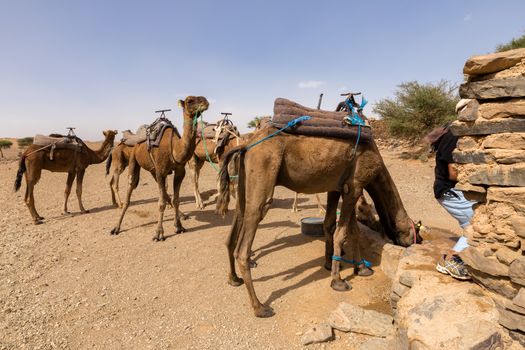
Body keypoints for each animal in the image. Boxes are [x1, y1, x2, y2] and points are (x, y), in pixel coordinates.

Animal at [110, 95, 209, 241]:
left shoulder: (179, 171)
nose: (205, 102)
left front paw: (179, 226)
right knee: (130, 190)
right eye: (190, 101)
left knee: (165, 193)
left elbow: (176, 199)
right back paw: (116, 227)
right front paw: (158, 233)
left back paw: (183, 215)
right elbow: (161, 203)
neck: (174, 147)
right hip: (134, 160)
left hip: (153, 169)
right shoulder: (161, 171)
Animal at [215, 126, 420, 318]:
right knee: (246, 239)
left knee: (236, 220)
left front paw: (353, 267)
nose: (415, 242)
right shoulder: (355, 185)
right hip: (263, 170)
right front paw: (338, 280)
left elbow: (339, 227)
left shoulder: (338, 187)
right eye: (415, 234)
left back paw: (234, 279)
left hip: (244, 181)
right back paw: (260, 307)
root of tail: (246, 145)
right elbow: (342, 232)